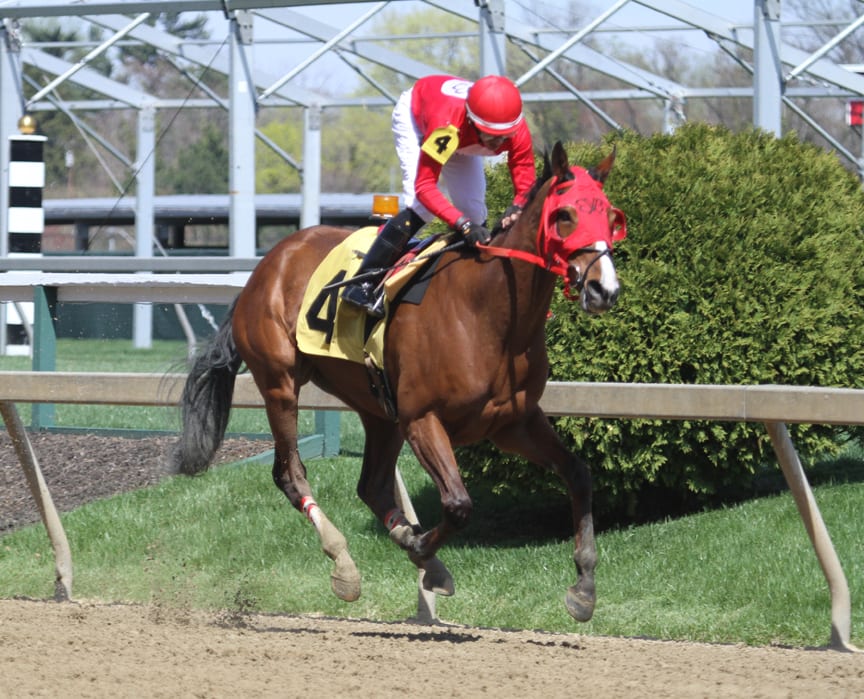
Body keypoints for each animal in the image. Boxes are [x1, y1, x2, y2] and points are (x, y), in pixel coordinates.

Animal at [172, 142, 624, 624]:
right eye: (565, 215)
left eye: (610, 215)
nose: (605, 289)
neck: (486, 311)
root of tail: (266, 266)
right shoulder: (422, 418)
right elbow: (458, 505)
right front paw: (421, 548)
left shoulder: (512, 423)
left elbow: (578, 473)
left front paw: (584, 587)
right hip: (280, 383)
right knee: (290, 474)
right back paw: (346, 565)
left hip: (378, 409)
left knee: (370, 484)